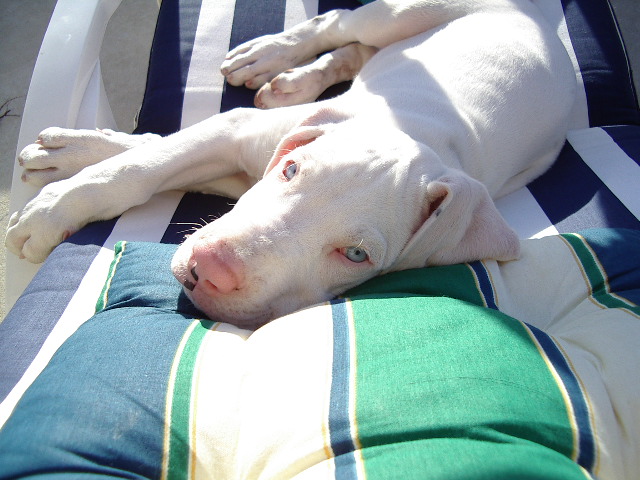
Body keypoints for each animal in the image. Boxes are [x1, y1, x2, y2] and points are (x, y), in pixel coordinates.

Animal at [5, 0, 576, 330]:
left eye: (356, 255)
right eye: (292, 171)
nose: (211, 267)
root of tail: (542, 19)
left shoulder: (238, 163)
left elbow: (152, 151)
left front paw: (70, 162)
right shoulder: (237, 134)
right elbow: (145, 161)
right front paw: (57, 196)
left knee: (356, 49)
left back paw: (291, 79)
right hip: (402, 12)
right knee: (339, 24)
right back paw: (270, 56)